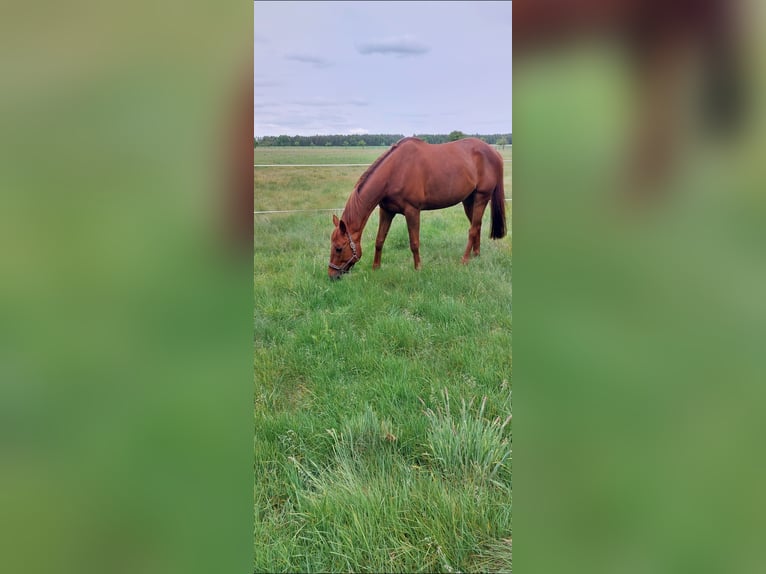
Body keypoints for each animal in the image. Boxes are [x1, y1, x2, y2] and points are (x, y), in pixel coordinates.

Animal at [328, 137, 506, 279]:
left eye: (338, 248)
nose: (331, 275)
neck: (395, 171)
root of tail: (494, 152)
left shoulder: (412, 211)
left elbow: (414, 242)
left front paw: (418, 268)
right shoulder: (386, 211)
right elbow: (379, 240)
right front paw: (376, 268)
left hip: (482, 197)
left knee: (473, 229)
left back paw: (464, 260)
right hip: (469, 201)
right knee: (477, 226)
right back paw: (476, 255)